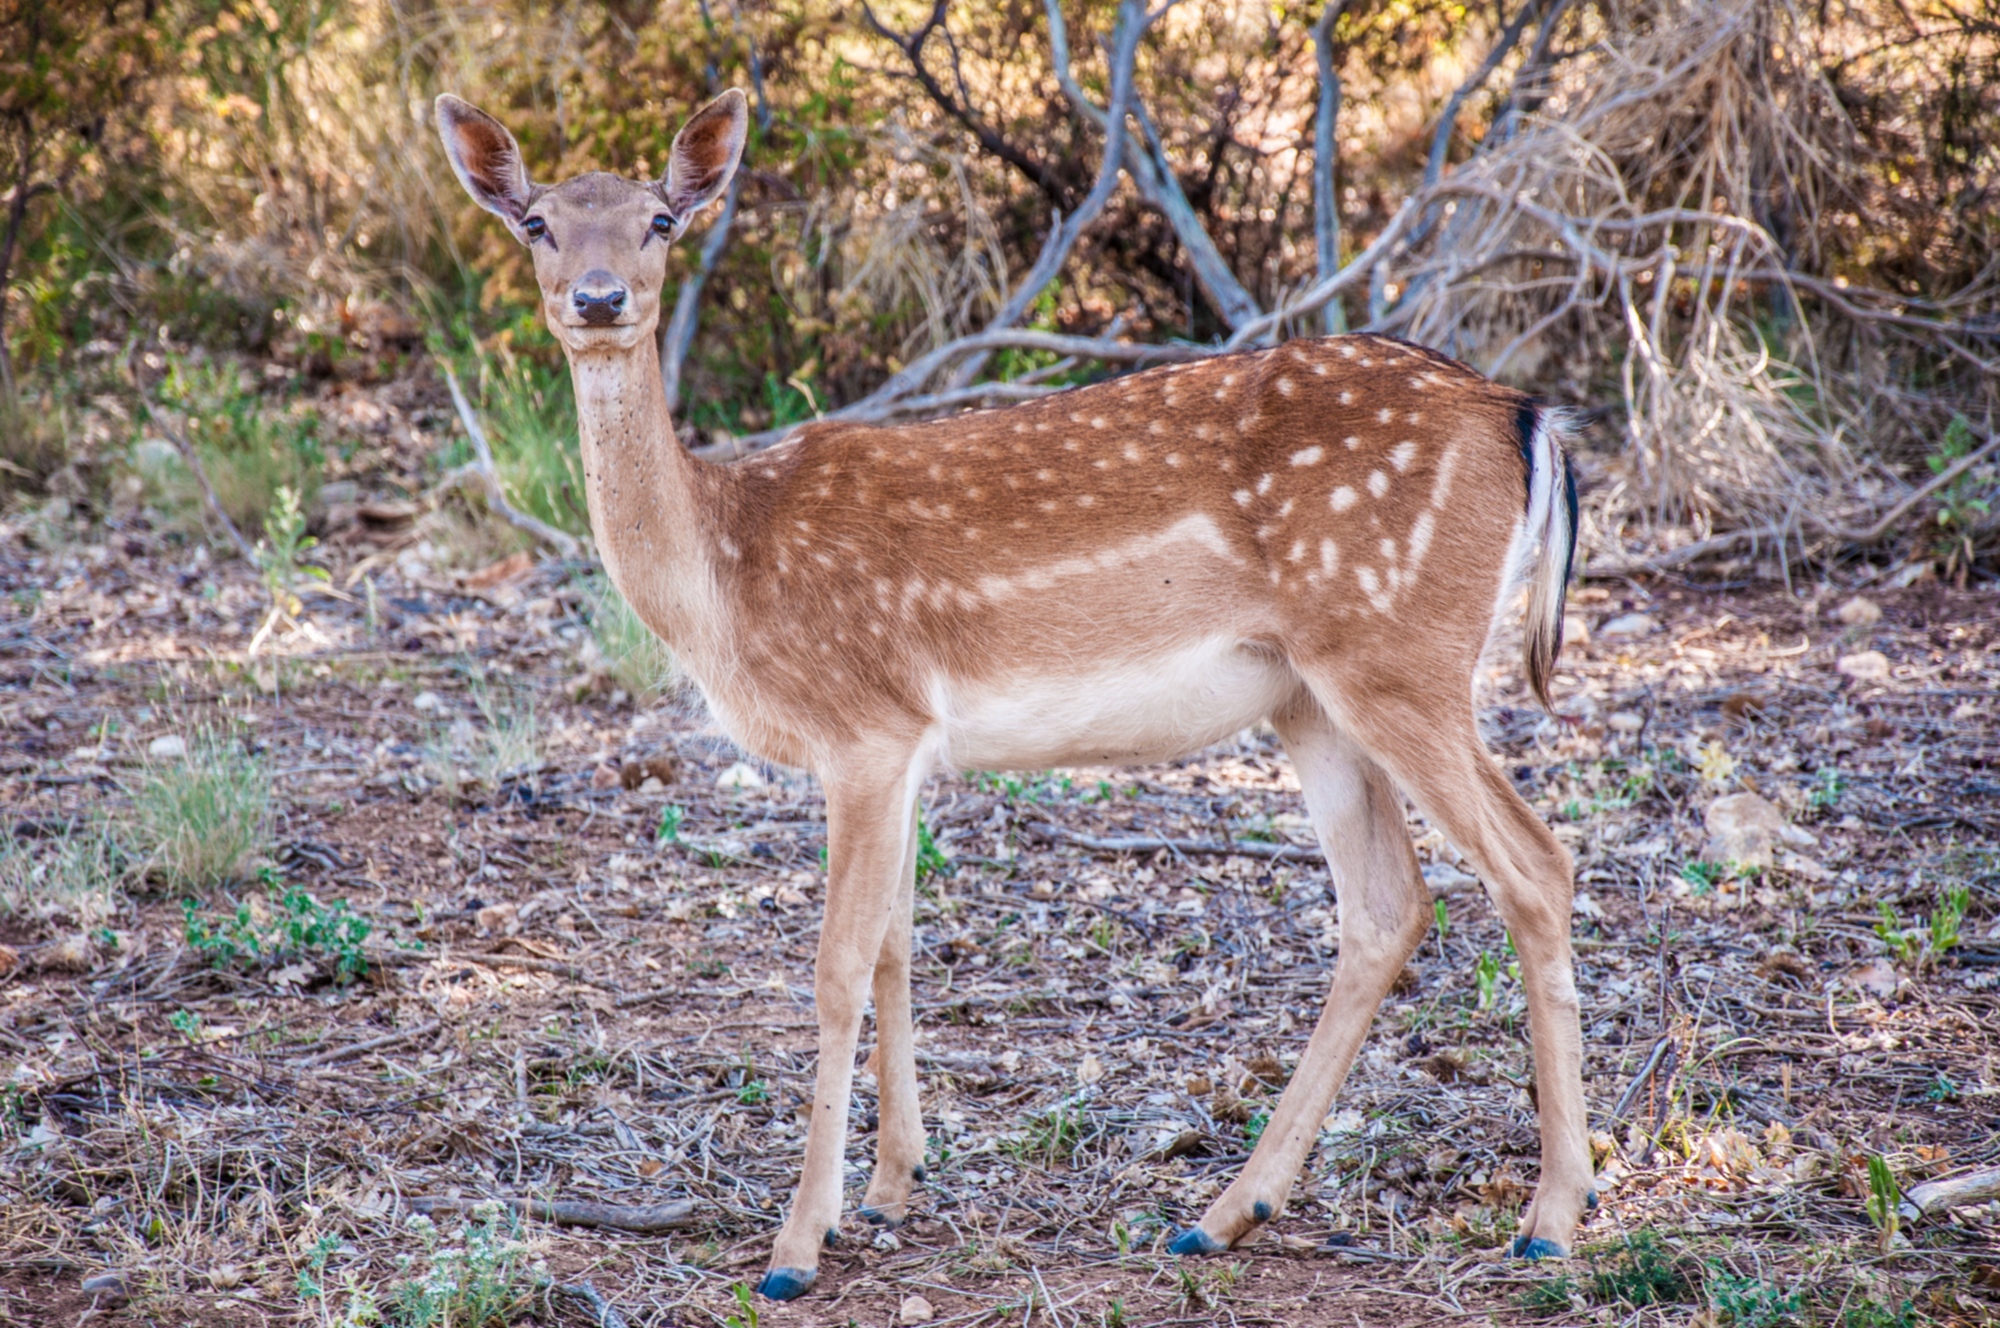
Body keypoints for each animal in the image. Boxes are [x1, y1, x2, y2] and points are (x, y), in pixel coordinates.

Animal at [438, 88, 1592, 1304]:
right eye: (538, 225)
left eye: (660, 221)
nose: (597, 297)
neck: (727, 574)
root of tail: (1526, 418)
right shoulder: (905, 748)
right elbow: (896, 945)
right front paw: (890, 1188)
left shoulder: (863, 723)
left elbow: (837, 965)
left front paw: (797, 1246)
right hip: (1312, 694)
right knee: (1386, 904)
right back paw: (1222, 1213)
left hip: (1401, 652)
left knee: (1532, 864)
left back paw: (1551, 1215)